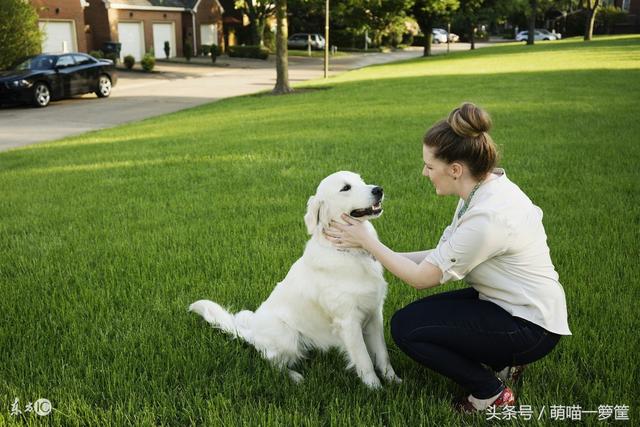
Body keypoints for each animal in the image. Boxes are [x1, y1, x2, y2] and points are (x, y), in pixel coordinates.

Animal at [189, 172, 400, 390]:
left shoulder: (375, 313)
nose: (379, 189)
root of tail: (252, 333)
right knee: (273, 363)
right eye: (346, 188)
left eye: (361, 180)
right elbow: (365, 360)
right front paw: (375, 388)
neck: (351, 252)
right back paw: (295, 377)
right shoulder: (348, 321)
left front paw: (394, 381)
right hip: (287, 335)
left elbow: (382, 354)